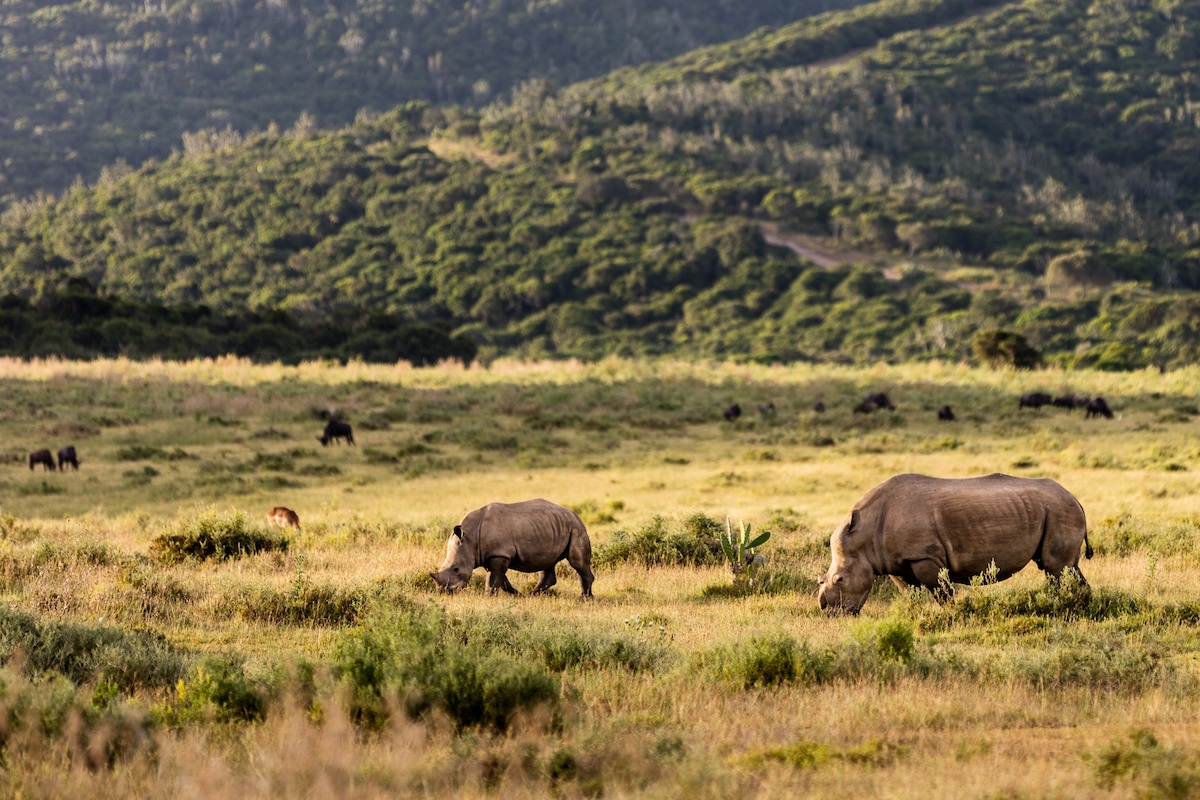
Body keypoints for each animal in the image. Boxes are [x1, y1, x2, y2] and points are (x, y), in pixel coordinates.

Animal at [436, 496, 595, 597]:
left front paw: (488, 597)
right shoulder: (488, 555)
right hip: (554, 527)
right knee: (547, 563)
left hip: (575, 529)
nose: (446, 591)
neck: (470, 538)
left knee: (577, 563)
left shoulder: (499, 553)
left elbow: (494, 579)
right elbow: (501, 580)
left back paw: (584, 598)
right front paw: (516, 594)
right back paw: (531, 595)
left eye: (456, 569)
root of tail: (576, 515)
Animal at [820, 472, 1094, 618]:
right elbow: (909, 593)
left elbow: (943, 593)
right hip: (1052, 510)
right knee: (1064, 569)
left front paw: (954, 614)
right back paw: (1078, 605)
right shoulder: (895, 561)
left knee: (1056, 567)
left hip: (1059, 510)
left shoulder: (924, 557)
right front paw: (914, 614)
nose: (830, 612)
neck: (864, 536)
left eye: (840, 580)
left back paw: (1064, 607)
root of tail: (1075, 498)